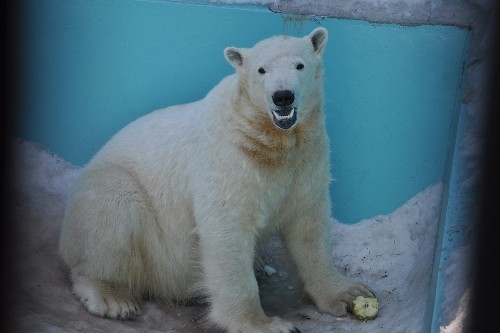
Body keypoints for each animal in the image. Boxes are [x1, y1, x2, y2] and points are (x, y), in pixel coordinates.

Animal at [59, 28, 372, 332]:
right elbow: (226, 229)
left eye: (299, 65)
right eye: (262, 70)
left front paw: (349, 294)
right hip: (116, 200)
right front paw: (265, 324)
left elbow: (309, 225)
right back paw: (112, 298)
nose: (283, 96)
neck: (269, 140)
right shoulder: (228, 159)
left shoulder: (306, 159)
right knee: (113, 212)